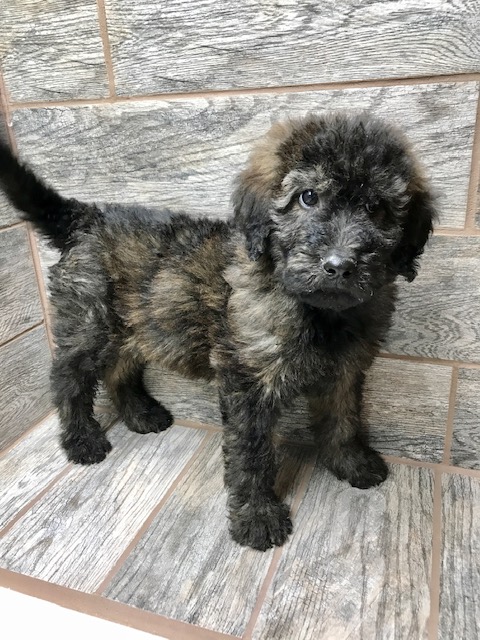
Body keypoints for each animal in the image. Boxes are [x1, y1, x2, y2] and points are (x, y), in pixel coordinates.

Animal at [0, 111, 436, 552]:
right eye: (308, 197)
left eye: (375, 207)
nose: (339, 264)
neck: (319, 312)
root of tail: (87, 217)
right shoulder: (248, 382)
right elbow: (251, 452)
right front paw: (257, 517)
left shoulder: (345, 371)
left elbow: (343, 419)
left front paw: (351, 463)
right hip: (90, 323)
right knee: (68, 377)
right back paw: (81, 441)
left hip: (136, 323)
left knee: (119, 370)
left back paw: (140, 415)